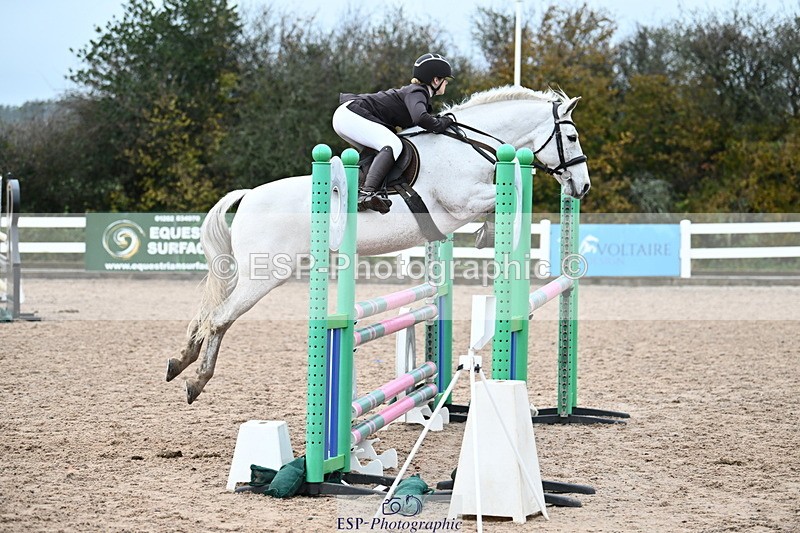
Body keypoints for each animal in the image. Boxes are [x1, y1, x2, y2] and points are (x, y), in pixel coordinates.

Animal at [166, 86, 591, 404]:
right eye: (571, 137)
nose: (582, 187)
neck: (467, 147)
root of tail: (250, 195)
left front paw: (488, 236)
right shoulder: (463, 201)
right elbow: (509, 199)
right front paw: (491, 235)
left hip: (255, 272)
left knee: (210, 314)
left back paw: (181, 361)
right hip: (266, 274)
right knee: (221, 317)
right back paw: (196, 380)